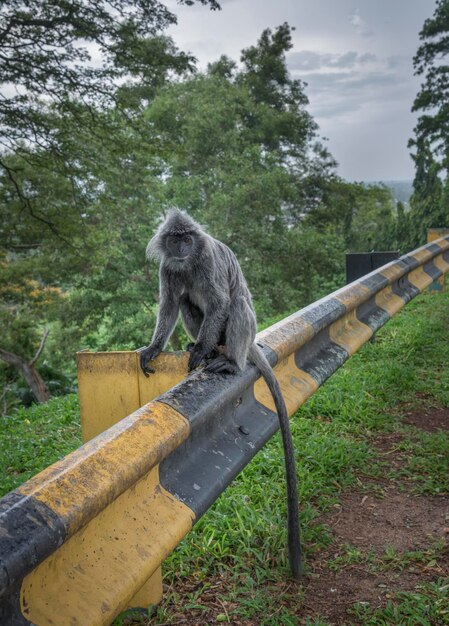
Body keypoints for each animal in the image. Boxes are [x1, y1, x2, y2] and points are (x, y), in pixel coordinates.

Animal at [140, 207, 300, 576]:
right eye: (175, 239)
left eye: (188, 237)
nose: (183, 247)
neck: (188, 262)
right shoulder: (169, 267)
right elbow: (170, 304)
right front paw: (155, 348)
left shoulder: (208, 261)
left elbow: (219, 300)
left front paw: (199, 352)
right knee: (187, 299)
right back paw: (208, 349)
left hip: (241, 329)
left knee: (235, 301)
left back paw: (226, 361)